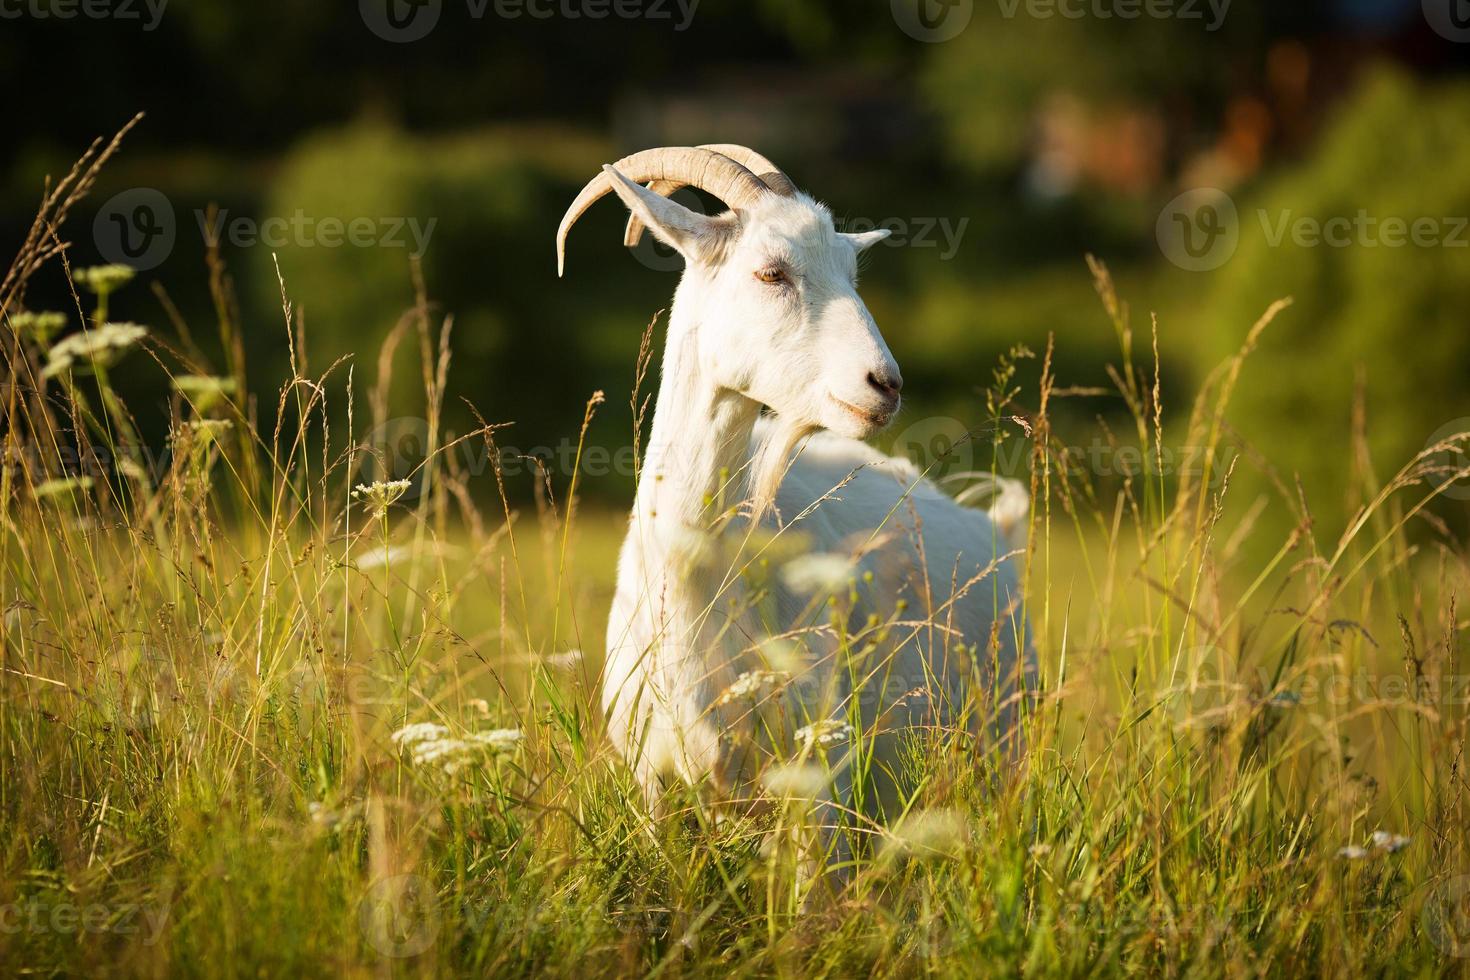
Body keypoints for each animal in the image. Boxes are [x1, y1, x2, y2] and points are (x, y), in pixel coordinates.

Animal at [552, 143, 1034, 852]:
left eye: (852, 270)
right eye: (771, 272)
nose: (885, 384)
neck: (696, 579)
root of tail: (999, 529)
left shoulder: (819, 783)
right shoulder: (652, 783)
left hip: (1005, 738)